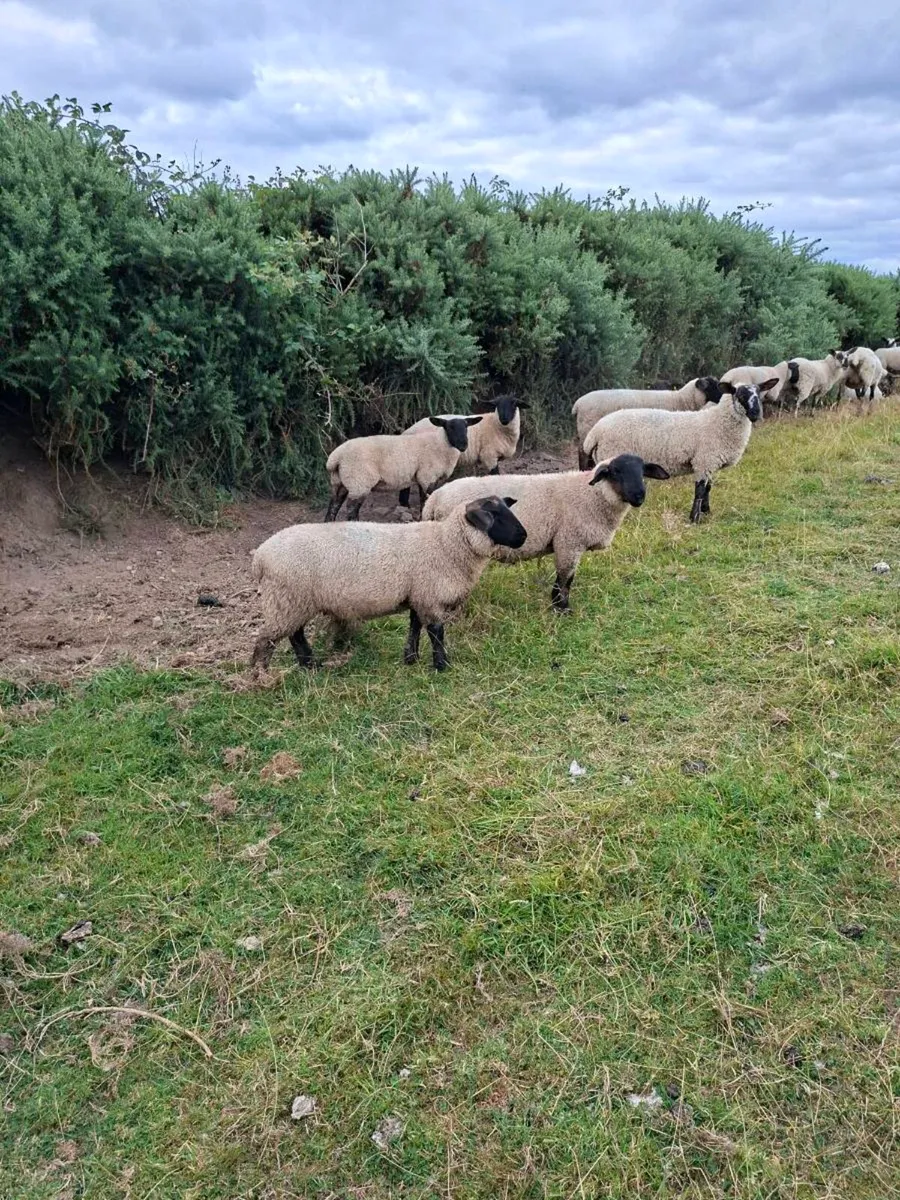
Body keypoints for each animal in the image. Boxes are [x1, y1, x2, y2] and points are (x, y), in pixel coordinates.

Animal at [250, 496, 526, 673]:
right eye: (494, 515)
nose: (523, 536)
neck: (446, 544)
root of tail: (260, 557)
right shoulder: (430, 596)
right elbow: (436, 632)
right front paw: (442, 666)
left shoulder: (418, 595)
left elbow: (414, 627)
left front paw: (411, 659)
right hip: (287, 598)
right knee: (267, 639)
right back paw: (260, 676)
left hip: (293, 601)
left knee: (294, 635)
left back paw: (310, 666)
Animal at [324, 416, 483, 521]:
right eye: (449, 427)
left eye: (466, 427)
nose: (463, 445)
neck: (441, 445)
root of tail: (335, 458)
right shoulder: (427, 476)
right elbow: (425, 501)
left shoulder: (427, 478)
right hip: (359, 481)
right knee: (351, 510)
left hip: (340, 482)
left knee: (333, 506)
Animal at [423, 453, 669, 612]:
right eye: (616, 472)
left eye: (642, 471)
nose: (639, 496)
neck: (592, 495)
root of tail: (432, 501)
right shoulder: (569, 541)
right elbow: (565, 578)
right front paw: (561, 608)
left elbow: (568, 578)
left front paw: (558, 604)